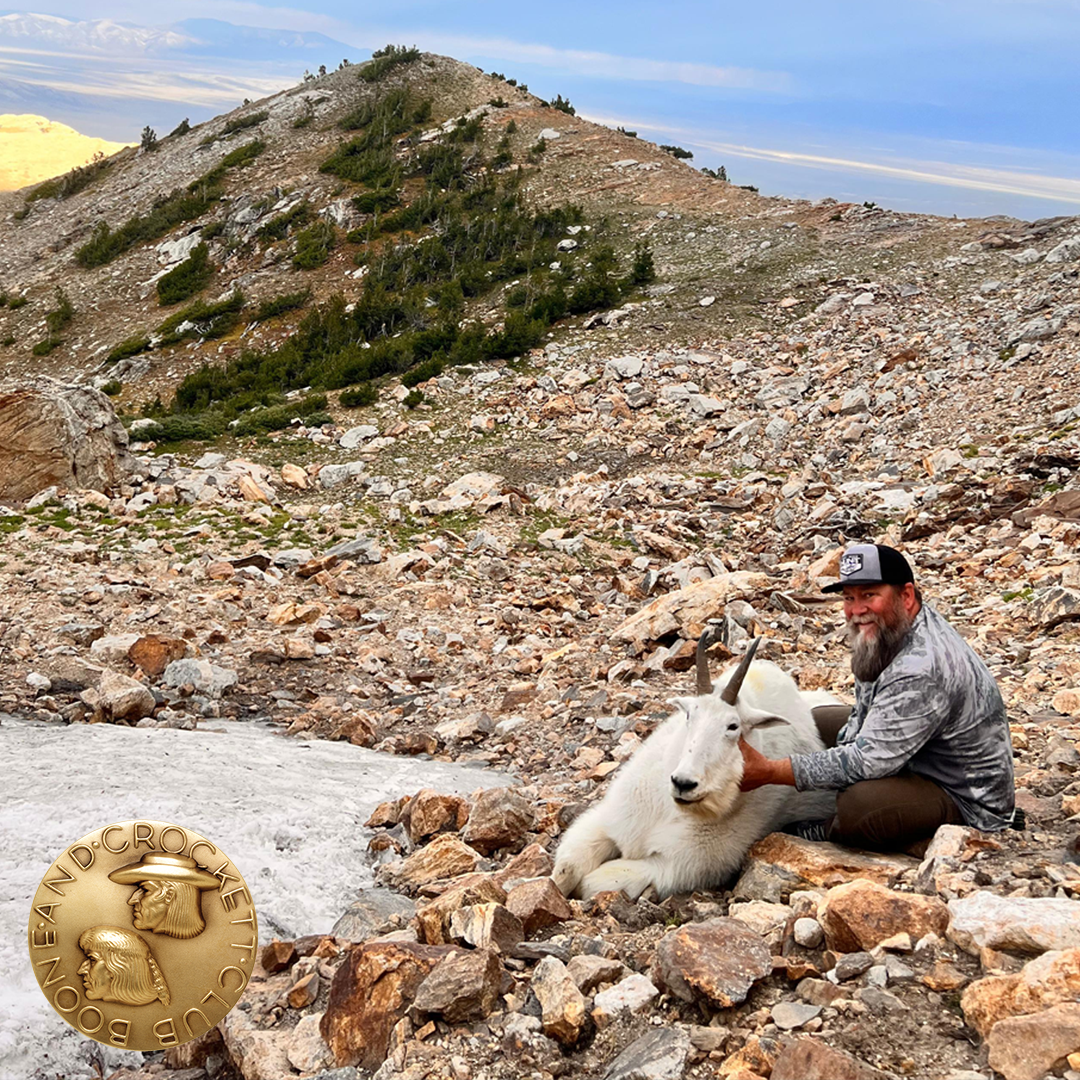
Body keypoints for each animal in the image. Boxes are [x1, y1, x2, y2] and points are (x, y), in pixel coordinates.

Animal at [552, 634, 838, 900]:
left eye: (733, 726)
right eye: (689, 715)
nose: (683, 783)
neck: (671, 810)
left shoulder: (678, 864)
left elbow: (592, 882)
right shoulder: (609, 820)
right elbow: (567, 870)